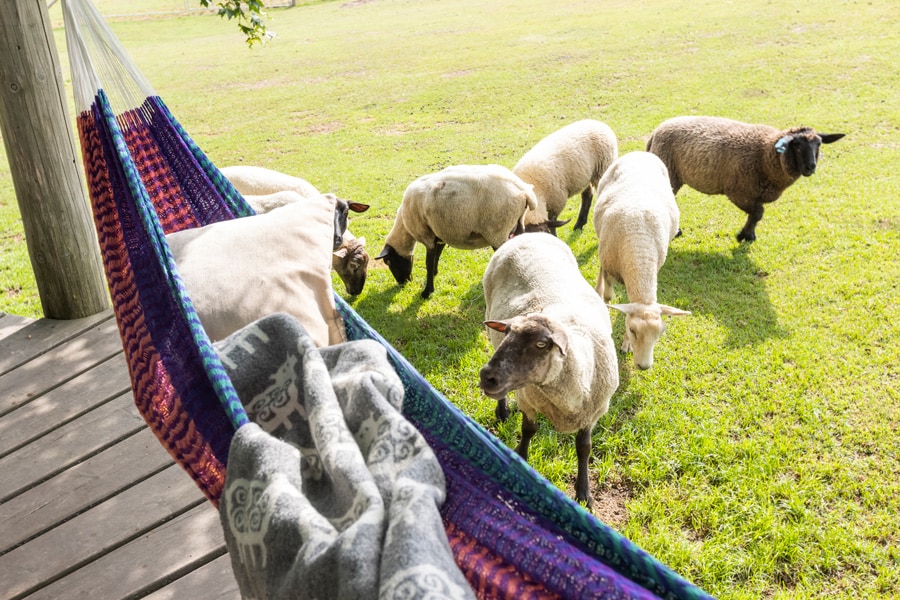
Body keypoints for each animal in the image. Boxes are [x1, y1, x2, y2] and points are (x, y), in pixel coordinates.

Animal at [376, 164, 536, 300]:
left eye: (388, 261)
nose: (402, 283)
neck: (405, 226)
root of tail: (524, 191)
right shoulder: (439, 233)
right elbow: (437, 256)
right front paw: (434, 274)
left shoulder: (427, 236)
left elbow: (428, 262)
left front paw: (427, 292)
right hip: (517, 223)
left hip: (497, 231)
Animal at [478, 232, 620, 508]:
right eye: (507, 333)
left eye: (541, 344)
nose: (486, 376)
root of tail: (528, 233)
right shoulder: (528, 401)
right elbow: (528, 431)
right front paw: (521, 460)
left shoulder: (594, 413)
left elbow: (584, 448)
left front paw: (584, 493)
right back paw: (502, 410)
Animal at [596, 150, 692, 370]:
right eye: (632, 330)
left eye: (661, 333)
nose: (643, 366)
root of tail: (642, 152)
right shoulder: (609, 265)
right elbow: (608, 297)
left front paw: (626, 345)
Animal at [648, 115, 844, 241]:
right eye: (796, 145)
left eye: (819, 144)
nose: (811, 167)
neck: (765, 153)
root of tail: (655, 132)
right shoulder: (737, 192)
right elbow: (758, 213)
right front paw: (743, 235)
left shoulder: (757, 194)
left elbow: (756, 216)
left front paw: (749, 235)